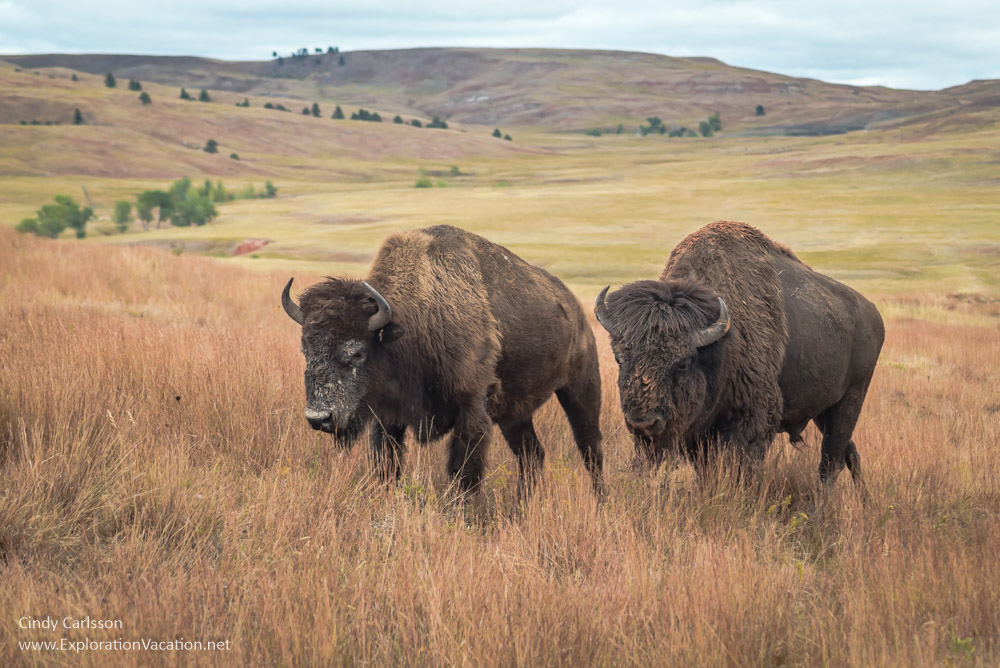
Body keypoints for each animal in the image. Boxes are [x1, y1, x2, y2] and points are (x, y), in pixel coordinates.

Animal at [282, 224, 604, 496]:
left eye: (358, 352)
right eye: (306, 349)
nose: (319, 418)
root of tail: (575, 307)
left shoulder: (472, 413)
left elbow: (464, 475)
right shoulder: (387, 419)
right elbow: (388, 468)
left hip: (581, 388)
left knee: (591, 448)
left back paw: (600, 500)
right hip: (515, 414)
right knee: (532, 454)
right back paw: (522, 506)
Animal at [594, 221, 884, 486]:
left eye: (683, 363)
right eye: (619, 358)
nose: (643, 423)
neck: (721, 344)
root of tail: (873, 314)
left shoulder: (751, 421)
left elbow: (740, 469)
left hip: (851, 400)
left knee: (831, 463)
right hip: (824, 410)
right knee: (849, 454)